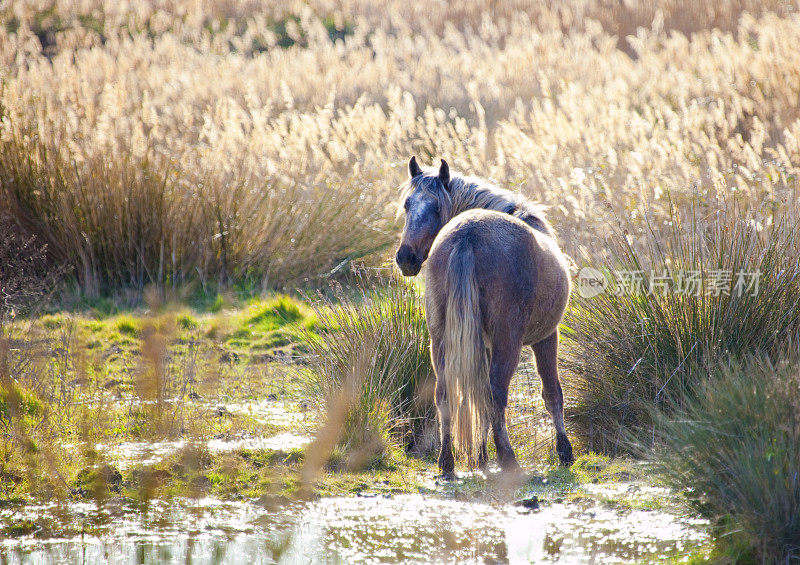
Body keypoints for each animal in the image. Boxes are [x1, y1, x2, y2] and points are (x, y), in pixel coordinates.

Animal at [396, 155, 576, 476]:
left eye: (437, 208)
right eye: (407, 205)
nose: (405, 258)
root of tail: (467, 235)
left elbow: (475, 396)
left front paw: (479, 456)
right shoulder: (546, 337)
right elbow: (552, 393)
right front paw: (564, 451)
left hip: (440, 340)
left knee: (446, 394)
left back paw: (447, 462)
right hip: (509, 342)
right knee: (496, 394)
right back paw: (508, 458)